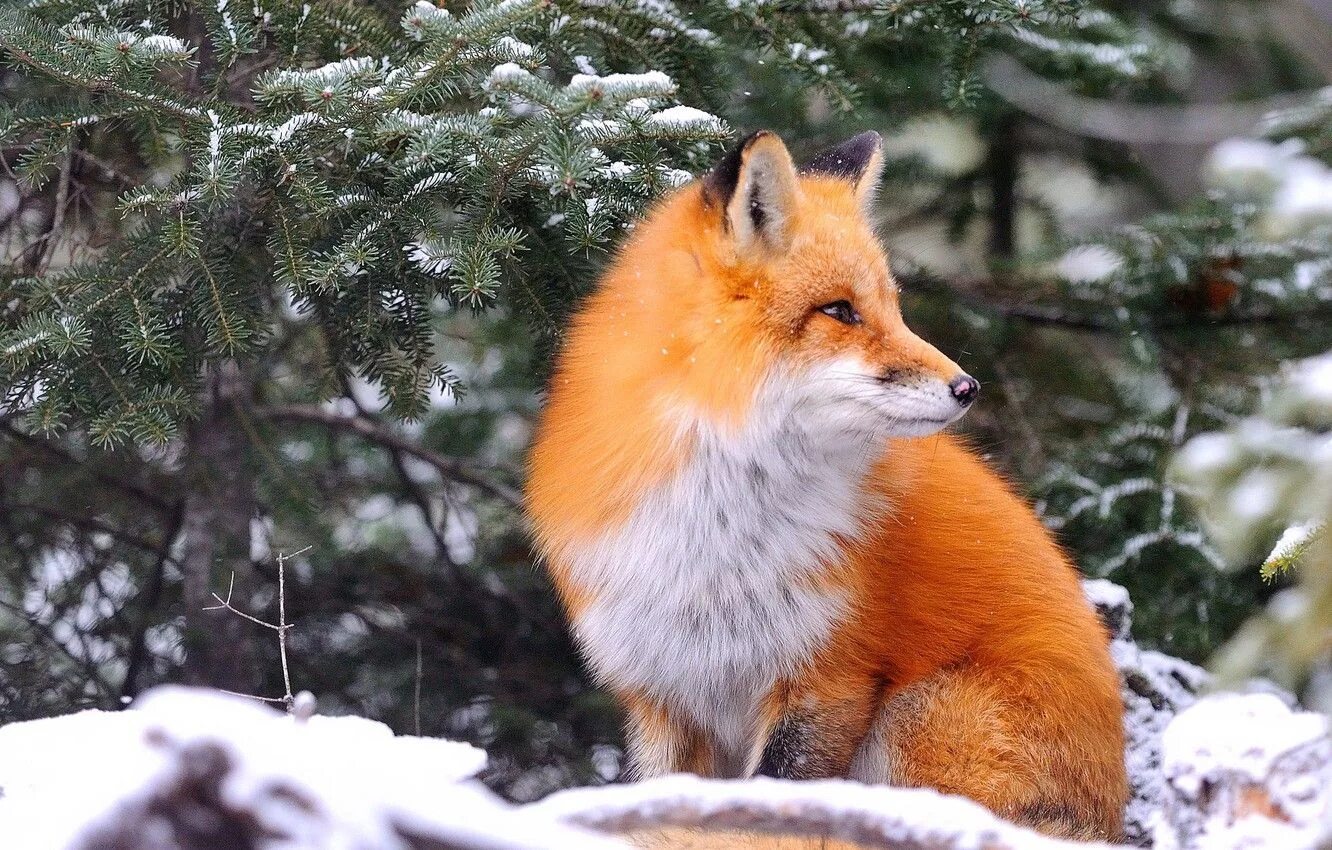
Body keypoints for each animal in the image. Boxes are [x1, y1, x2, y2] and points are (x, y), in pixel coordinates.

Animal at [524, 129, 1129, 842]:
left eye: (894, 309)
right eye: (840, 311)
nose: (968, 387)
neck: (713, 531)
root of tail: (1108, 822)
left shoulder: (828, 677)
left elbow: (775, 806)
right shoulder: (663, 693)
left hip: (918, 716)